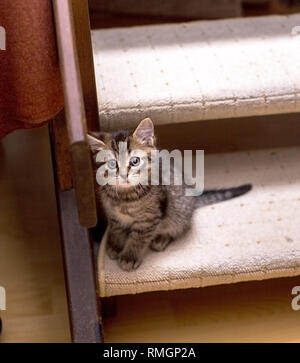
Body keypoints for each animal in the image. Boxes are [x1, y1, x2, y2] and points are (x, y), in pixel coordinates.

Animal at [88, 118, 251, 272]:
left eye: (134, 161)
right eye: (112, 164)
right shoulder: (113, 215)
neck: (125, 197)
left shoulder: (150, 217)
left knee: (179, 228)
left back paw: (161, 239)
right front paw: (115, 245)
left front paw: (129, 256)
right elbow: (117, 230)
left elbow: (138, 238)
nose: (123, 175)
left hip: (178, 212)